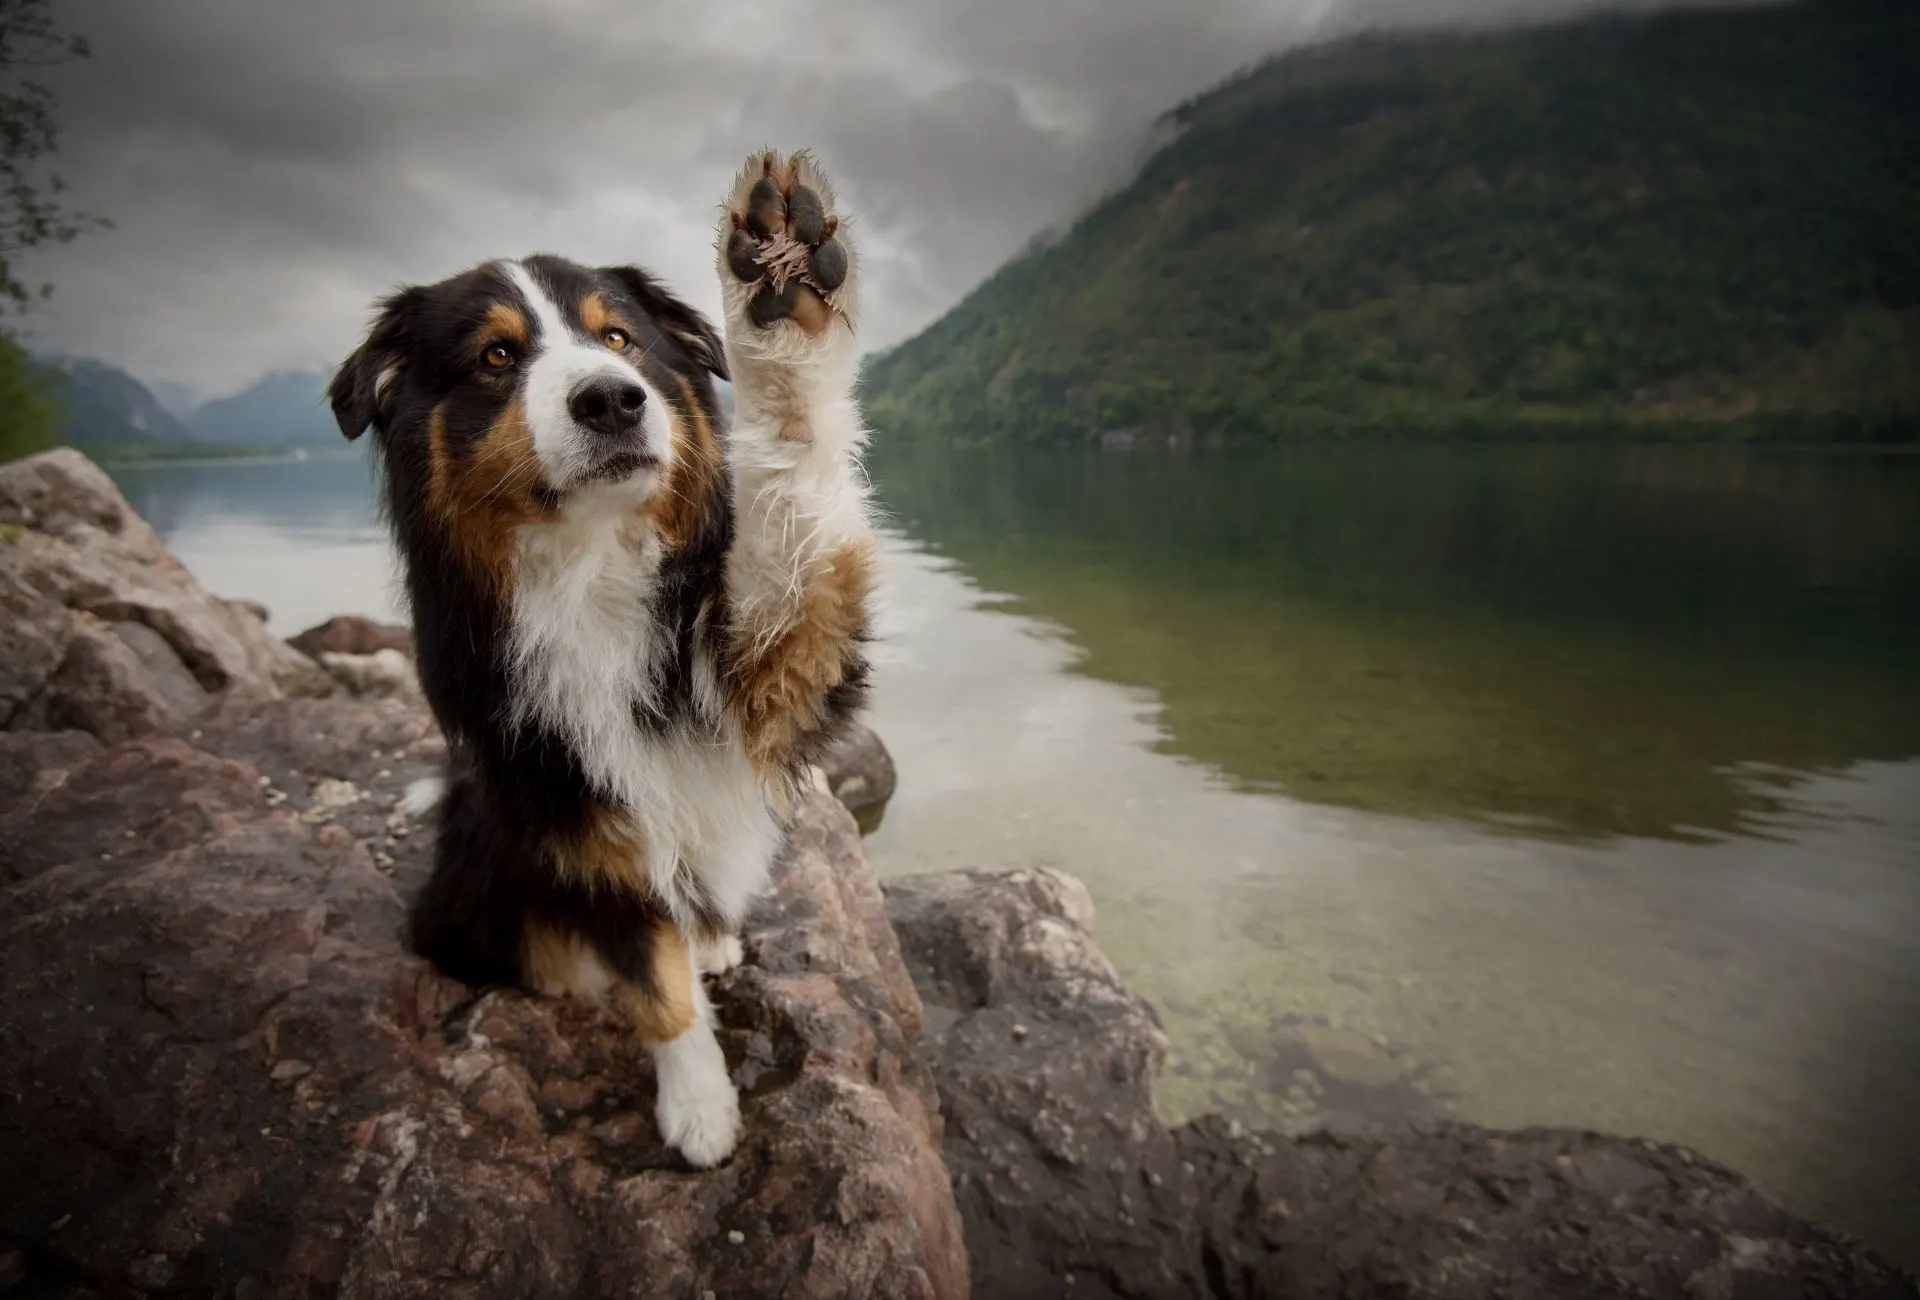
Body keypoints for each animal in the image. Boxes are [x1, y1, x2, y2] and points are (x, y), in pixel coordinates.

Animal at [328, 151, 871, 1167]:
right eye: (497, 357)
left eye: (618, 338)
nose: (614, 397)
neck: (591, 563)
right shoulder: (577, 816)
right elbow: (652, 982)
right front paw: (699, 1109)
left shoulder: (771, 659)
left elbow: (797, 495)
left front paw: (780, 290)